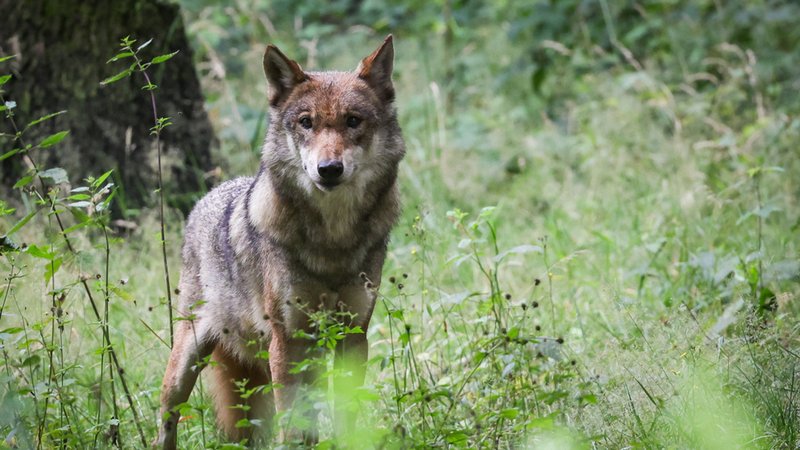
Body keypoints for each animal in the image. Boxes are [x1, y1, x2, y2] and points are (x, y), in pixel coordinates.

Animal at [154, 35, 404, 449]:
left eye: (353, 121)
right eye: (306, 122)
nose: (328, 169)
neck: (332, 241)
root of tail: (207, 197)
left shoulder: (353, 336)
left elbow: (346, 416)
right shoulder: (287, 342)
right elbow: (292, 424)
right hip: (187, 361)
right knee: (167, 413)